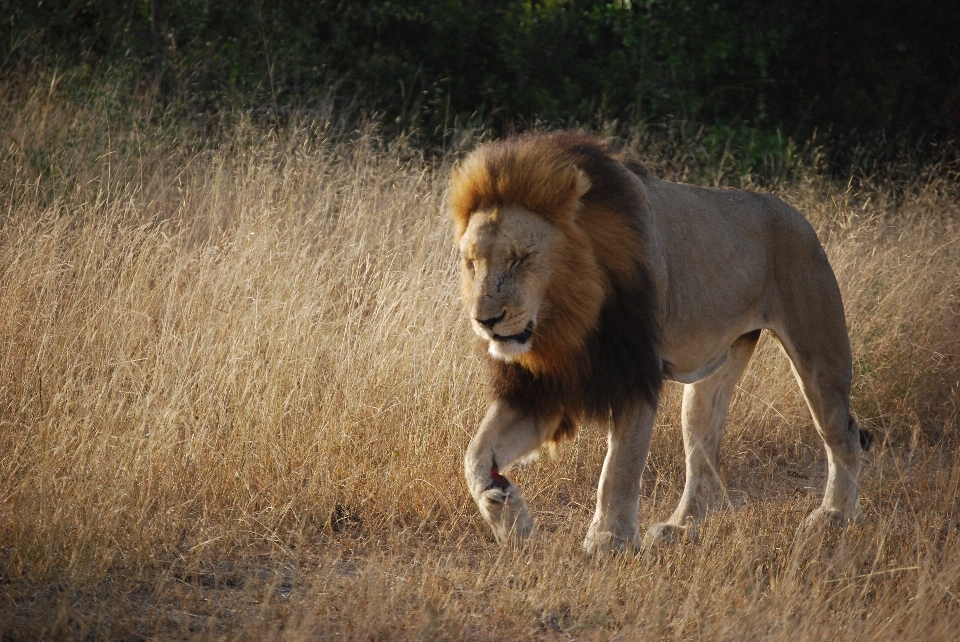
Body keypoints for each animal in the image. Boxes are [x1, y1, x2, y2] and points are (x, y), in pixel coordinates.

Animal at [450, 130, 872, 552]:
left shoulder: (635, 373)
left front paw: (608, 541)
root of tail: (797, 213)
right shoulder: (539, 390)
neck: (567, 319)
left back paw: (834, 515)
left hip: (818, 352)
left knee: (843, 432)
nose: (485, 321)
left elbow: (620, 467)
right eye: (471, 262)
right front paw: (509, 515)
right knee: (703, 453)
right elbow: (474, 454)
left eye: (520, 258)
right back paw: (680, 527)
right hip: (712, 378)